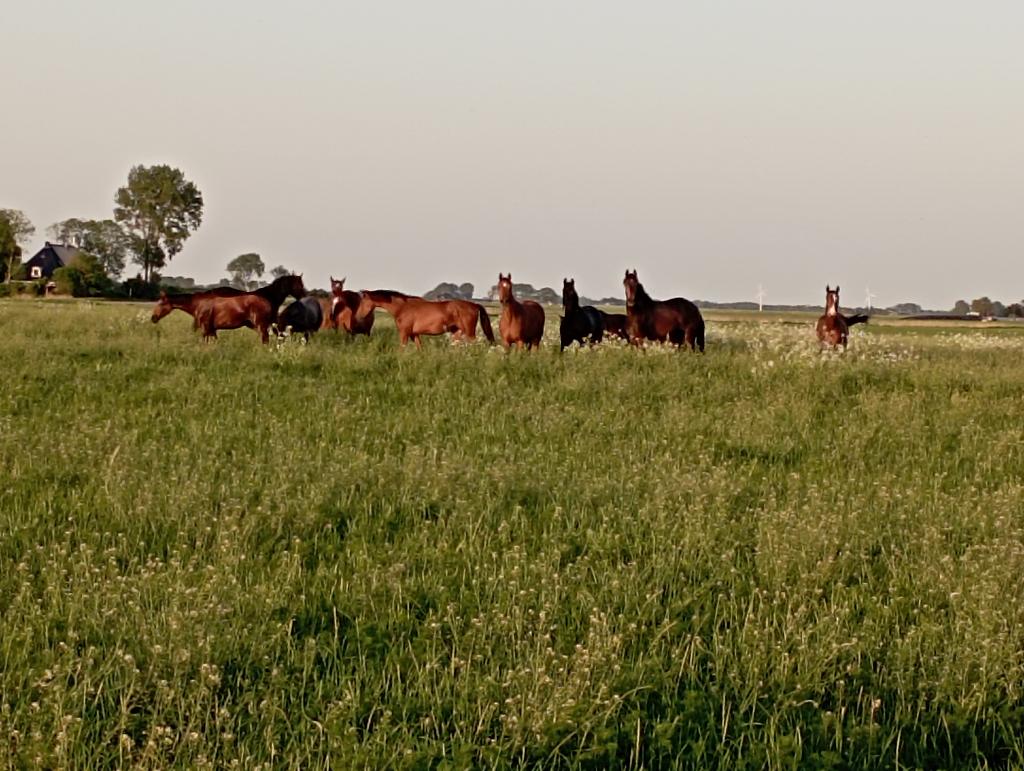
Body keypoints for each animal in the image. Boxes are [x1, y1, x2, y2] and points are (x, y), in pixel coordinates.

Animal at [355, 289, 494, 348]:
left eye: (362, 301)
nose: (358, 316)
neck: (402, 307)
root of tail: (474, 305)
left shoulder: (404, 333)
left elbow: (402, 349)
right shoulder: (415, 334)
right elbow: (420, 349)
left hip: (469, 333)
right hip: (457, 333)